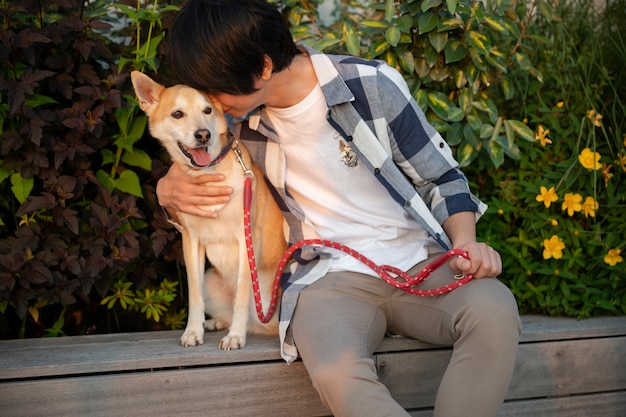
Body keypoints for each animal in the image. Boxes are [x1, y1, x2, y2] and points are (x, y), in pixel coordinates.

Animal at [134, 70, 288, 348]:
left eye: (207, 110)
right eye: (177, 114)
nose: (203, 135)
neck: (209, 173)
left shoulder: (245, 240)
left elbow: (241, 296)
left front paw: (236, 337)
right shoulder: (191, 242)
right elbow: (194, 296)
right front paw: (193, 332)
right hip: (209, 280)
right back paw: (216, 323)